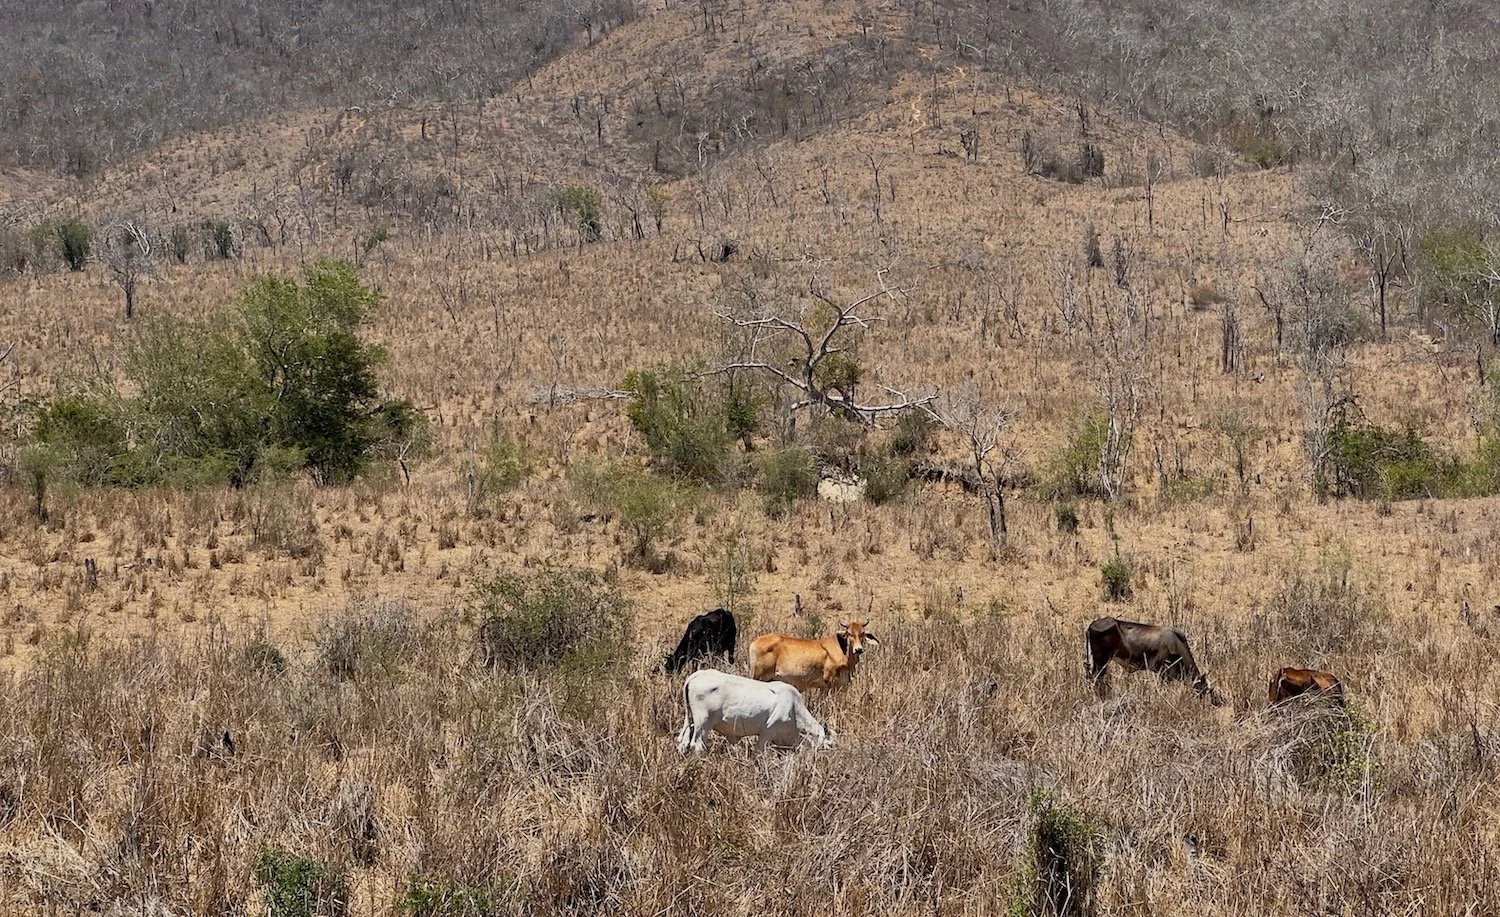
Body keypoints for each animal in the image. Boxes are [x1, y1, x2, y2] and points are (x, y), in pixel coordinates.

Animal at [676, 669, 834, 754]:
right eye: (830, 745)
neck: (794, 710)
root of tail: (699, 674)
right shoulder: (766, 733)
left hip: (690, 721)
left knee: (683, 743)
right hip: (703, 723)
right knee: (697, 745)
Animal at [750, 619, 879, 692]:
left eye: (862, 633)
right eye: (849, 633)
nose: (858, 649)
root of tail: (755, 642)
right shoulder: (828, 683)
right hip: (759, 677)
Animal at [1084, 616, 1225, 706]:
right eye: (1205, 690)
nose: (1213, 703)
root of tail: (1091, 625)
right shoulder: (1163, 673)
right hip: (1100, 661)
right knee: (1095, 678)